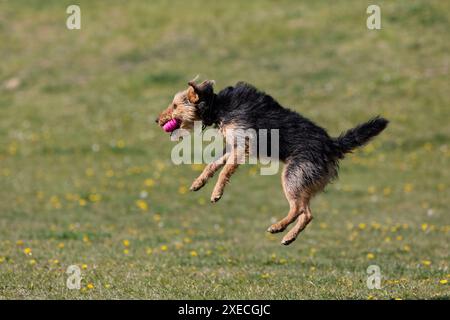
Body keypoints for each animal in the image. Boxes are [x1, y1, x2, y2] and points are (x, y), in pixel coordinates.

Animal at [156, 78, 386, 245]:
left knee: (300, 210)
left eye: (175, 105)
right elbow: (213, 164)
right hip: (303, 180)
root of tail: (331, 144)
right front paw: (199, 182)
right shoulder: (232, 146)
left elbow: (225, 171)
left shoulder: (243, 144)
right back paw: (288, 235)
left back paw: (279, 228)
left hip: (293, 176)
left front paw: (216, 193)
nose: (157, 120)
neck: (217, 105)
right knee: (306, 212)